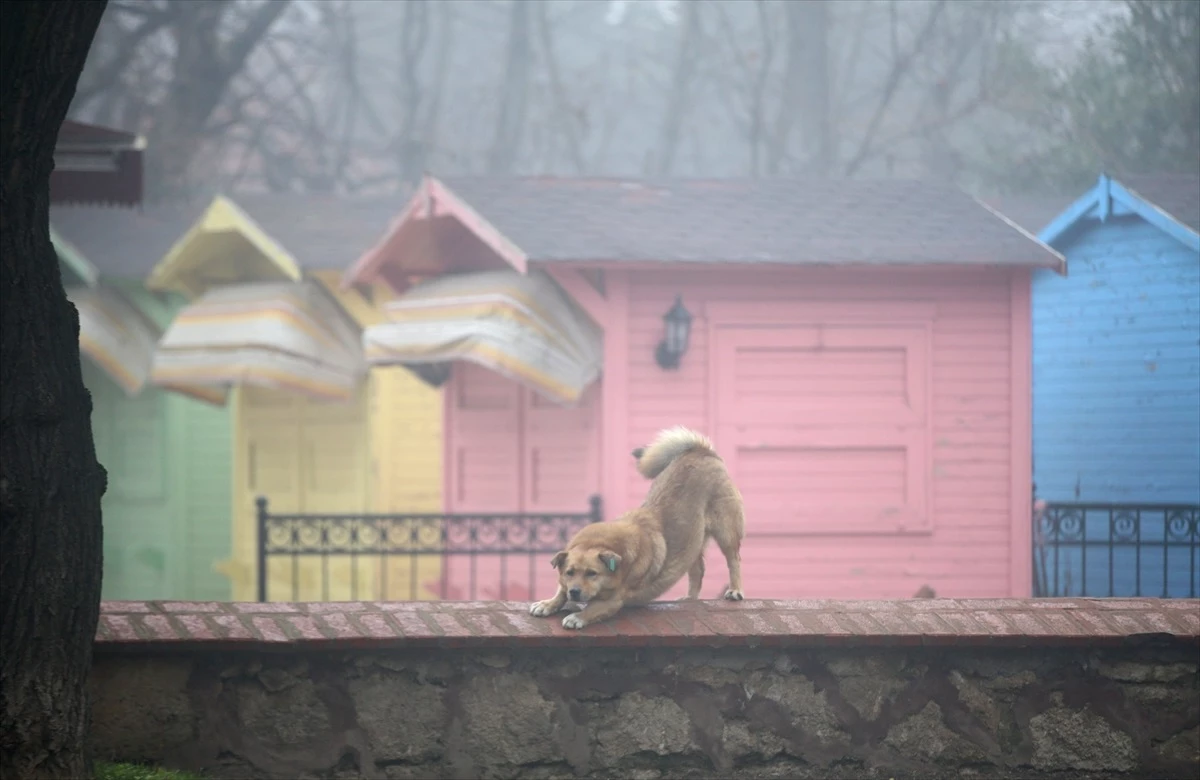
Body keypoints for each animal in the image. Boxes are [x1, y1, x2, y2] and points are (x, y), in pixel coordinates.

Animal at [530, 427, 744, 628]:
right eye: (570, 572)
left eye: (592, 573)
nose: (574, 592)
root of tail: (701, 451)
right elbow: (560, 590)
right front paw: (548, 603)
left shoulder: (614, 600)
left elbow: (591, 608)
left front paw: (577, 617)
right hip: (691, 541)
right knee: (698, 570)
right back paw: (689, 598)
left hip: (726, 532)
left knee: (734, 561)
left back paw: (735, 590)